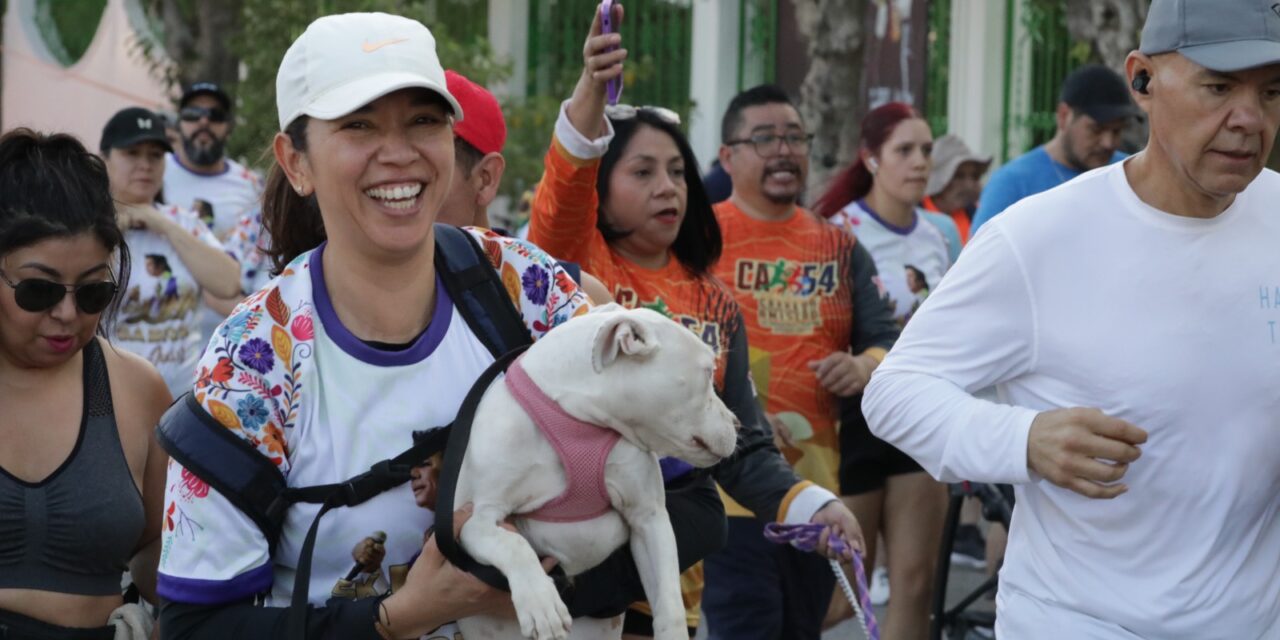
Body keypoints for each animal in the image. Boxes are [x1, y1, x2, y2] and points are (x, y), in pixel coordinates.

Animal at [453, 304, 737, 640]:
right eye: (708, 372)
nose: (736, 422)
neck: (580, 420)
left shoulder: (649, 518)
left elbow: (669, 603)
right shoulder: (473, 522)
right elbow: (514, 544)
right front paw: (540, 602)